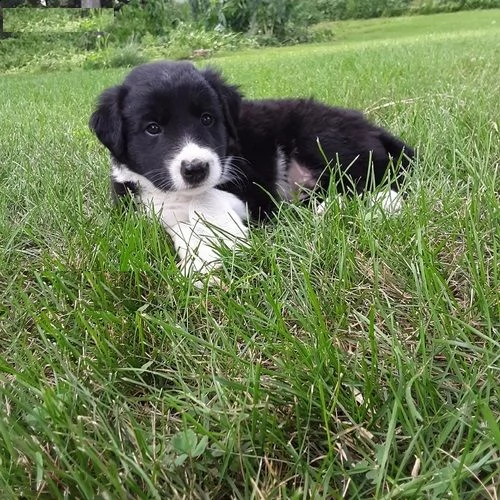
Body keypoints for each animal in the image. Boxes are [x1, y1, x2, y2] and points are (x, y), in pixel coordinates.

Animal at [91, 61, 414, 276]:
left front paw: (219, 248)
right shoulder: (139, 210)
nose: (196, 168)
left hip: (322, 136)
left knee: (380, 184)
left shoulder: (253, 189)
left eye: (207, 119)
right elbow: (175, 223)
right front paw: (202, 260)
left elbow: (204, 202)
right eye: (152, 128)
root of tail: (373, 128)